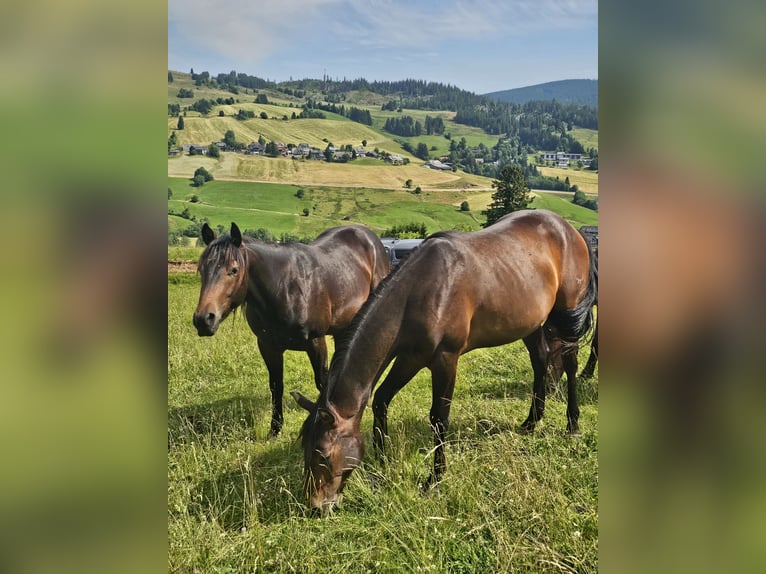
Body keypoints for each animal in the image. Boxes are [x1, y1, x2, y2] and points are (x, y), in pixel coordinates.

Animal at [193, 222, 390, 437]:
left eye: (234, 270)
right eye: (201, 269)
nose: (203, 319)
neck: (284, 289)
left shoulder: (316, 342)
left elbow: (322, 382)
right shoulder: (268, 346)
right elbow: (276, 386)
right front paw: (275, 428)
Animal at [292, 209, 598, 513]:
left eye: (322, 455)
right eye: (305, 449)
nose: (316, 506)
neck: (419, 292)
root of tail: (569, 230)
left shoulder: (445, 360)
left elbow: (439, 419)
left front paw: (435, 479)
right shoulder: (410, 357)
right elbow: (381, 399)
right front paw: (382, 461)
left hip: (568, 310)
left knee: (569, 363)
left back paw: (572, 424)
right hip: (531, 323)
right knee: (540, 360)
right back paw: (532, 421)